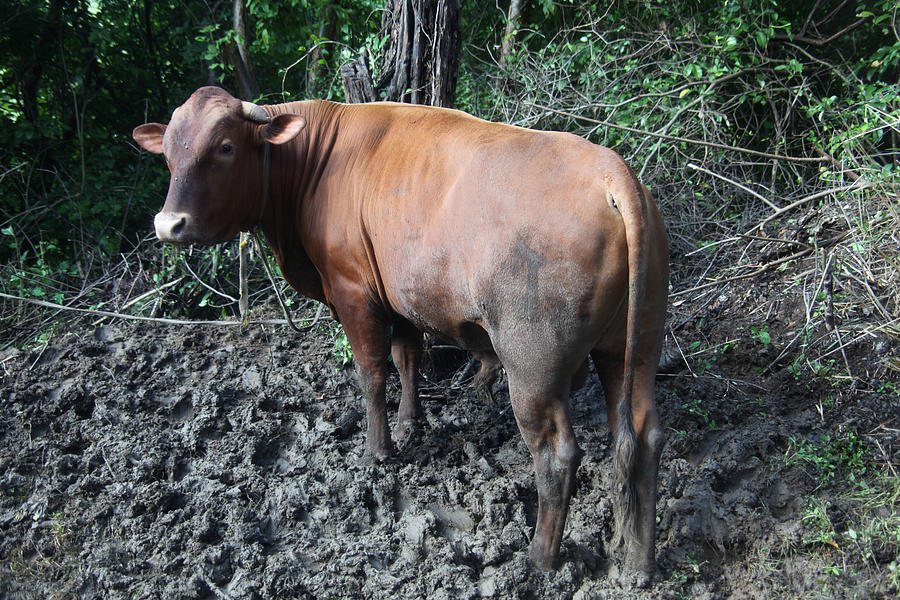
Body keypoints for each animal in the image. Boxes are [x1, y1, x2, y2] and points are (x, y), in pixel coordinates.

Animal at [134, 86, 668, 580]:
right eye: (168, 151)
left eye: (225, 146)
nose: (167, 223)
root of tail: (612, 171)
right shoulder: (401, 296)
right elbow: (407, 358)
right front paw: (412, 422)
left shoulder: (353, 291)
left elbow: (372, 374)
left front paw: (379, 450)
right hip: (634, 348)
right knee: (643, 437)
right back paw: (636, 559)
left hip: (533, 364)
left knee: (557, 454)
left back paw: (540, 557)